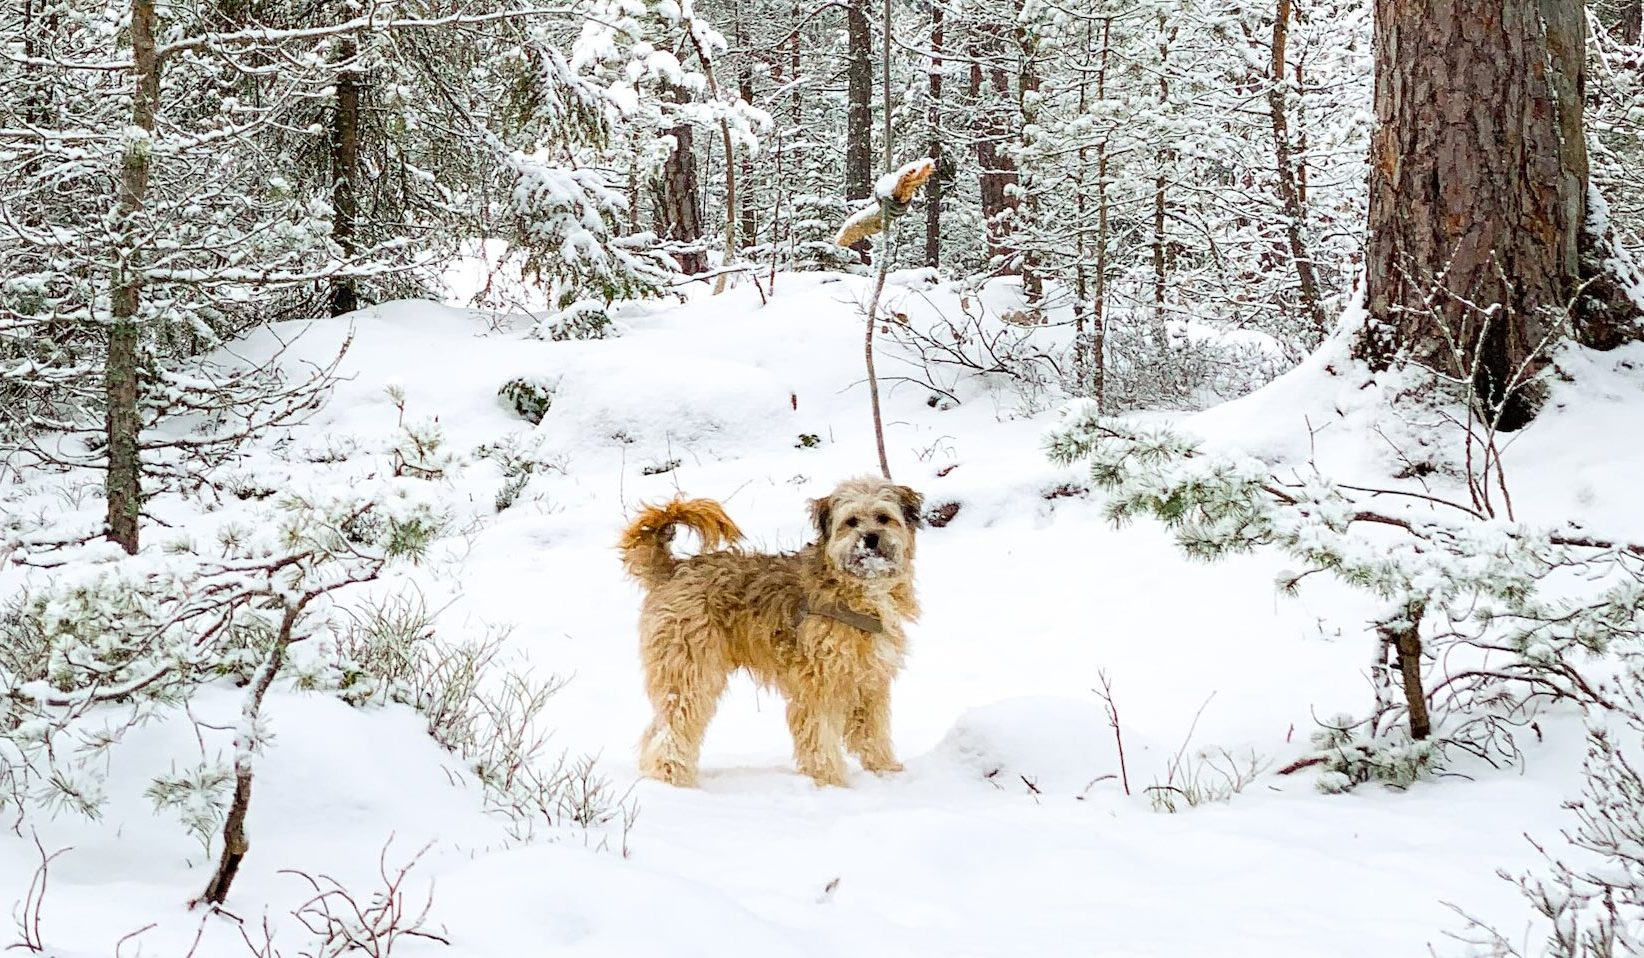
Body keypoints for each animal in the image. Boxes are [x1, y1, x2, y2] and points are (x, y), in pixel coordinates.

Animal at [618, 479, 927, 788]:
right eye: (851, 522)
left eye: (883, 518)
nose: (870, 538)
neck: (856, 589)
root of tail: (675, 569)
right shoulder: (817, 682)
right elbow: (819, 735)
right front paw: (830, 781)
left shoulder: (870, 681)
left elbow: (873, 732)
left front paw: (886, 771)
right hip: (689, 667)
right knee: (672, 727)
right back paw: (671, 777)